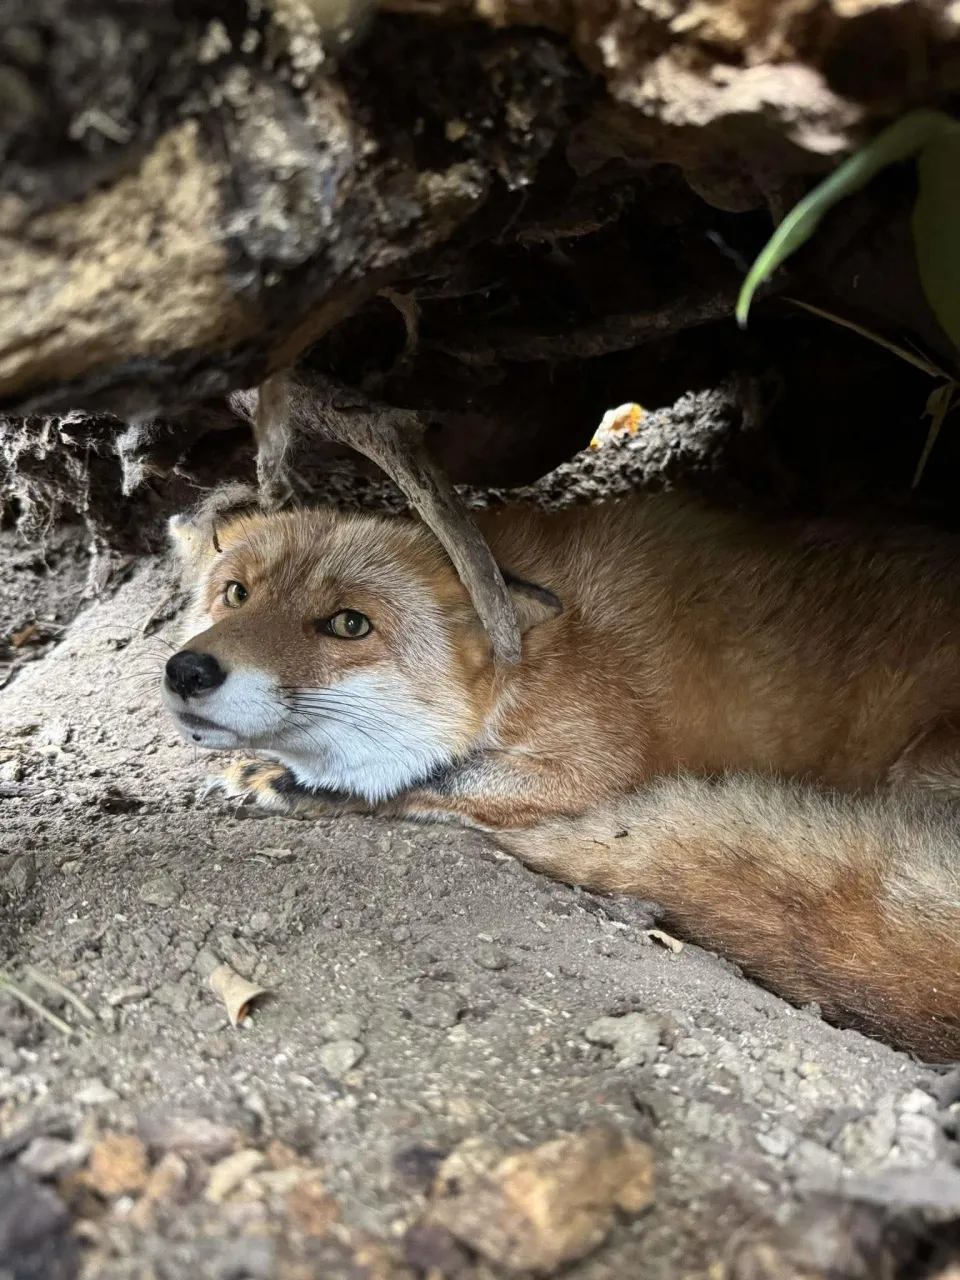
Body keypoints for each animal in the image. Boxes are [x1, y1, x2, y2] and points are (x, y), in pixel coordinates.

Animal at [160, 492, 960, 1062]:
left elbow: (432, 774)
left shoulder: (597, 759)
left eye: (349, 624)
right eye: (236, 594)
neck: (537, 663)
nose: (188, 670)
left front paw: (304, 785)